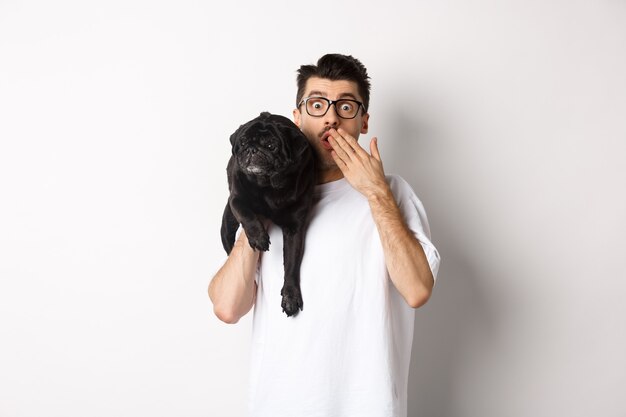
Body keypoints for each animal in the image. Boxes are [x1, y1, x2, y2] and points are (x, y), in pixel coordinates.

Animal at [222, 110, 314, 316]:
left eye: (272, 146)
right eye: (243, 143)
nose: (251, 149)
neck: (268, 186)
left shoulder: (294, 229)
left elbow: (291, 265)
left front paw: (290, 296)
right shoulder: (236, 199)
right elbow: (247, 214)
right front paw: (258, 237)